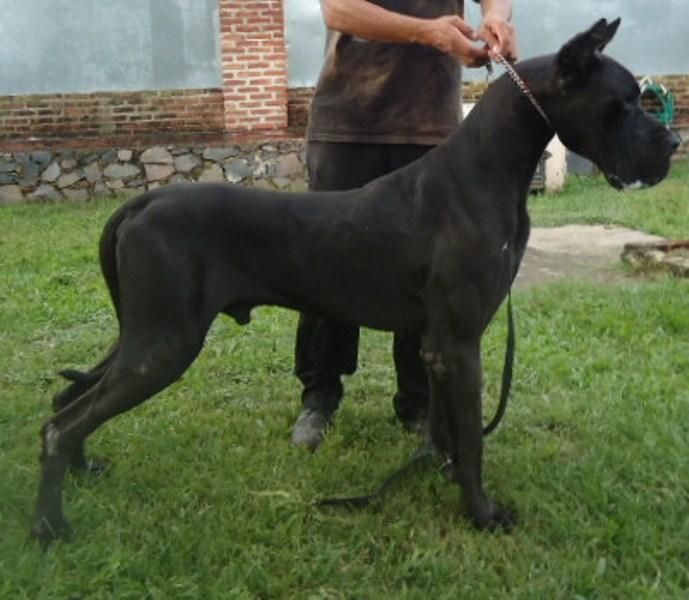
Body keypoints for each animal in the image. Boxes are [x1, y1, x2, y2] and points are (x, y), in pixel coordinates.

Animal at [32, 18, 679, 544]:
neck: (489, 169)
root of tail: (143, 202)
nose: (674, 141)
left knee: (67, 399)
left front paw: (437, 474)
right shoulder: (459, 343)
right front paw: (482, 513)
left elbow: (446, 428)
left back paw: (86, 474)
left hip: (142, 332)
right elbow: (473, 440)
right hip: (165, 342)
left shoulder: (436, 346)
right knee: (62, 424)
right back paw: (51, 528)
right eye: (624, 103)